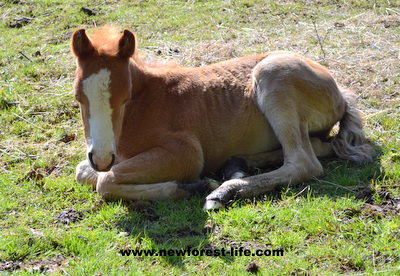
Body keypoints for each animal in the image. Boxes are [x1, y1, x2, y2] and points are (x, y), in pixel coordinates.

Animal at [71, 27, 372, 209]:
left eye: (125, 97)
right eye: (78, 98)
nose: (102, 158)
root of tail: (340, 93)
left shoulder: (186, 152)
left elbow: (104, 181)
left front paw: (194, 185)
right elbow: (84, 172)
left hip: (273, 75)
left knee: (303, 162)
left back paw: (224, 192)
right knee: (321, 147)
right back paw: (236, 165)